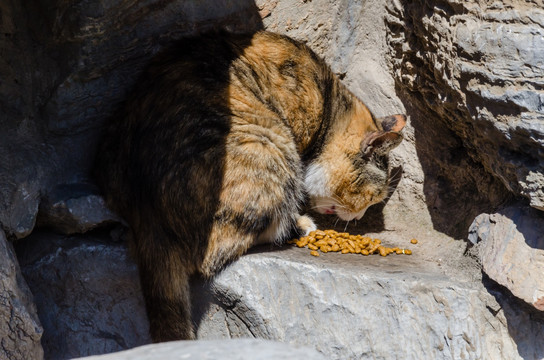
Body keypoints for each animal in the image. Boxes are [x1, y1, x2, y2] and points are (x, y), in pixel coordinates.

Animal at [93, 29, 406, 342]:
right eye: (371, 199)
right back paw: (300, 224)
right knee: (218, 252)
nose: (360, 217)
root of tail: (147, 213)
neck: (329, 109)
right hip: (269, 144)